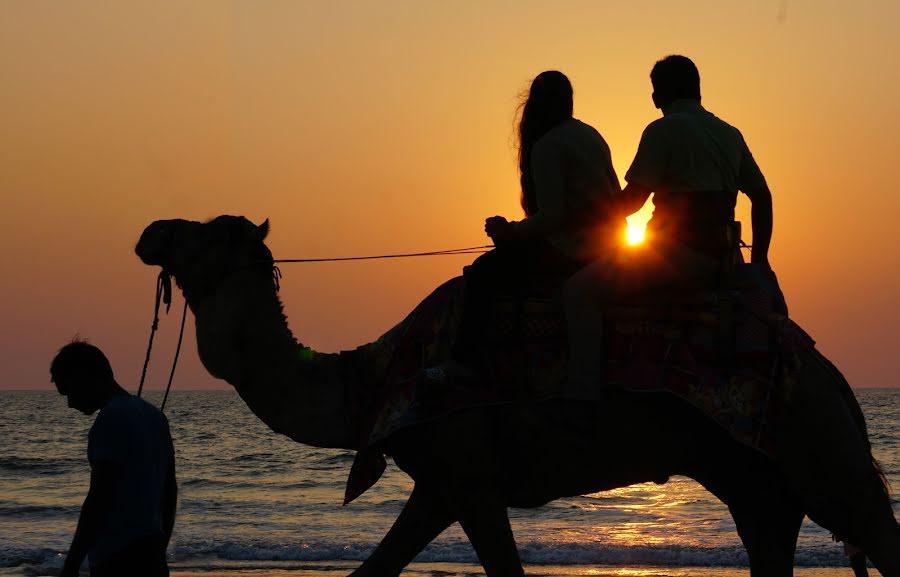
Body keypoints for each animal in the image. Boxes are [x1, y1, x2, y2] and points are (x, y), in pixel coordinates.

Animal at [134, 216, 900, 576]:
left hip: (815, 448)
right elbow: (370, 571)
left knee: (873, 523)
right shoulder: (441, 482)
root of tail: (826, 369)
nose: (151, 232)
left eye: (206, 231)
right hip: (756, 478)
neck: (370, 381)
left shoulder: (469, 474)